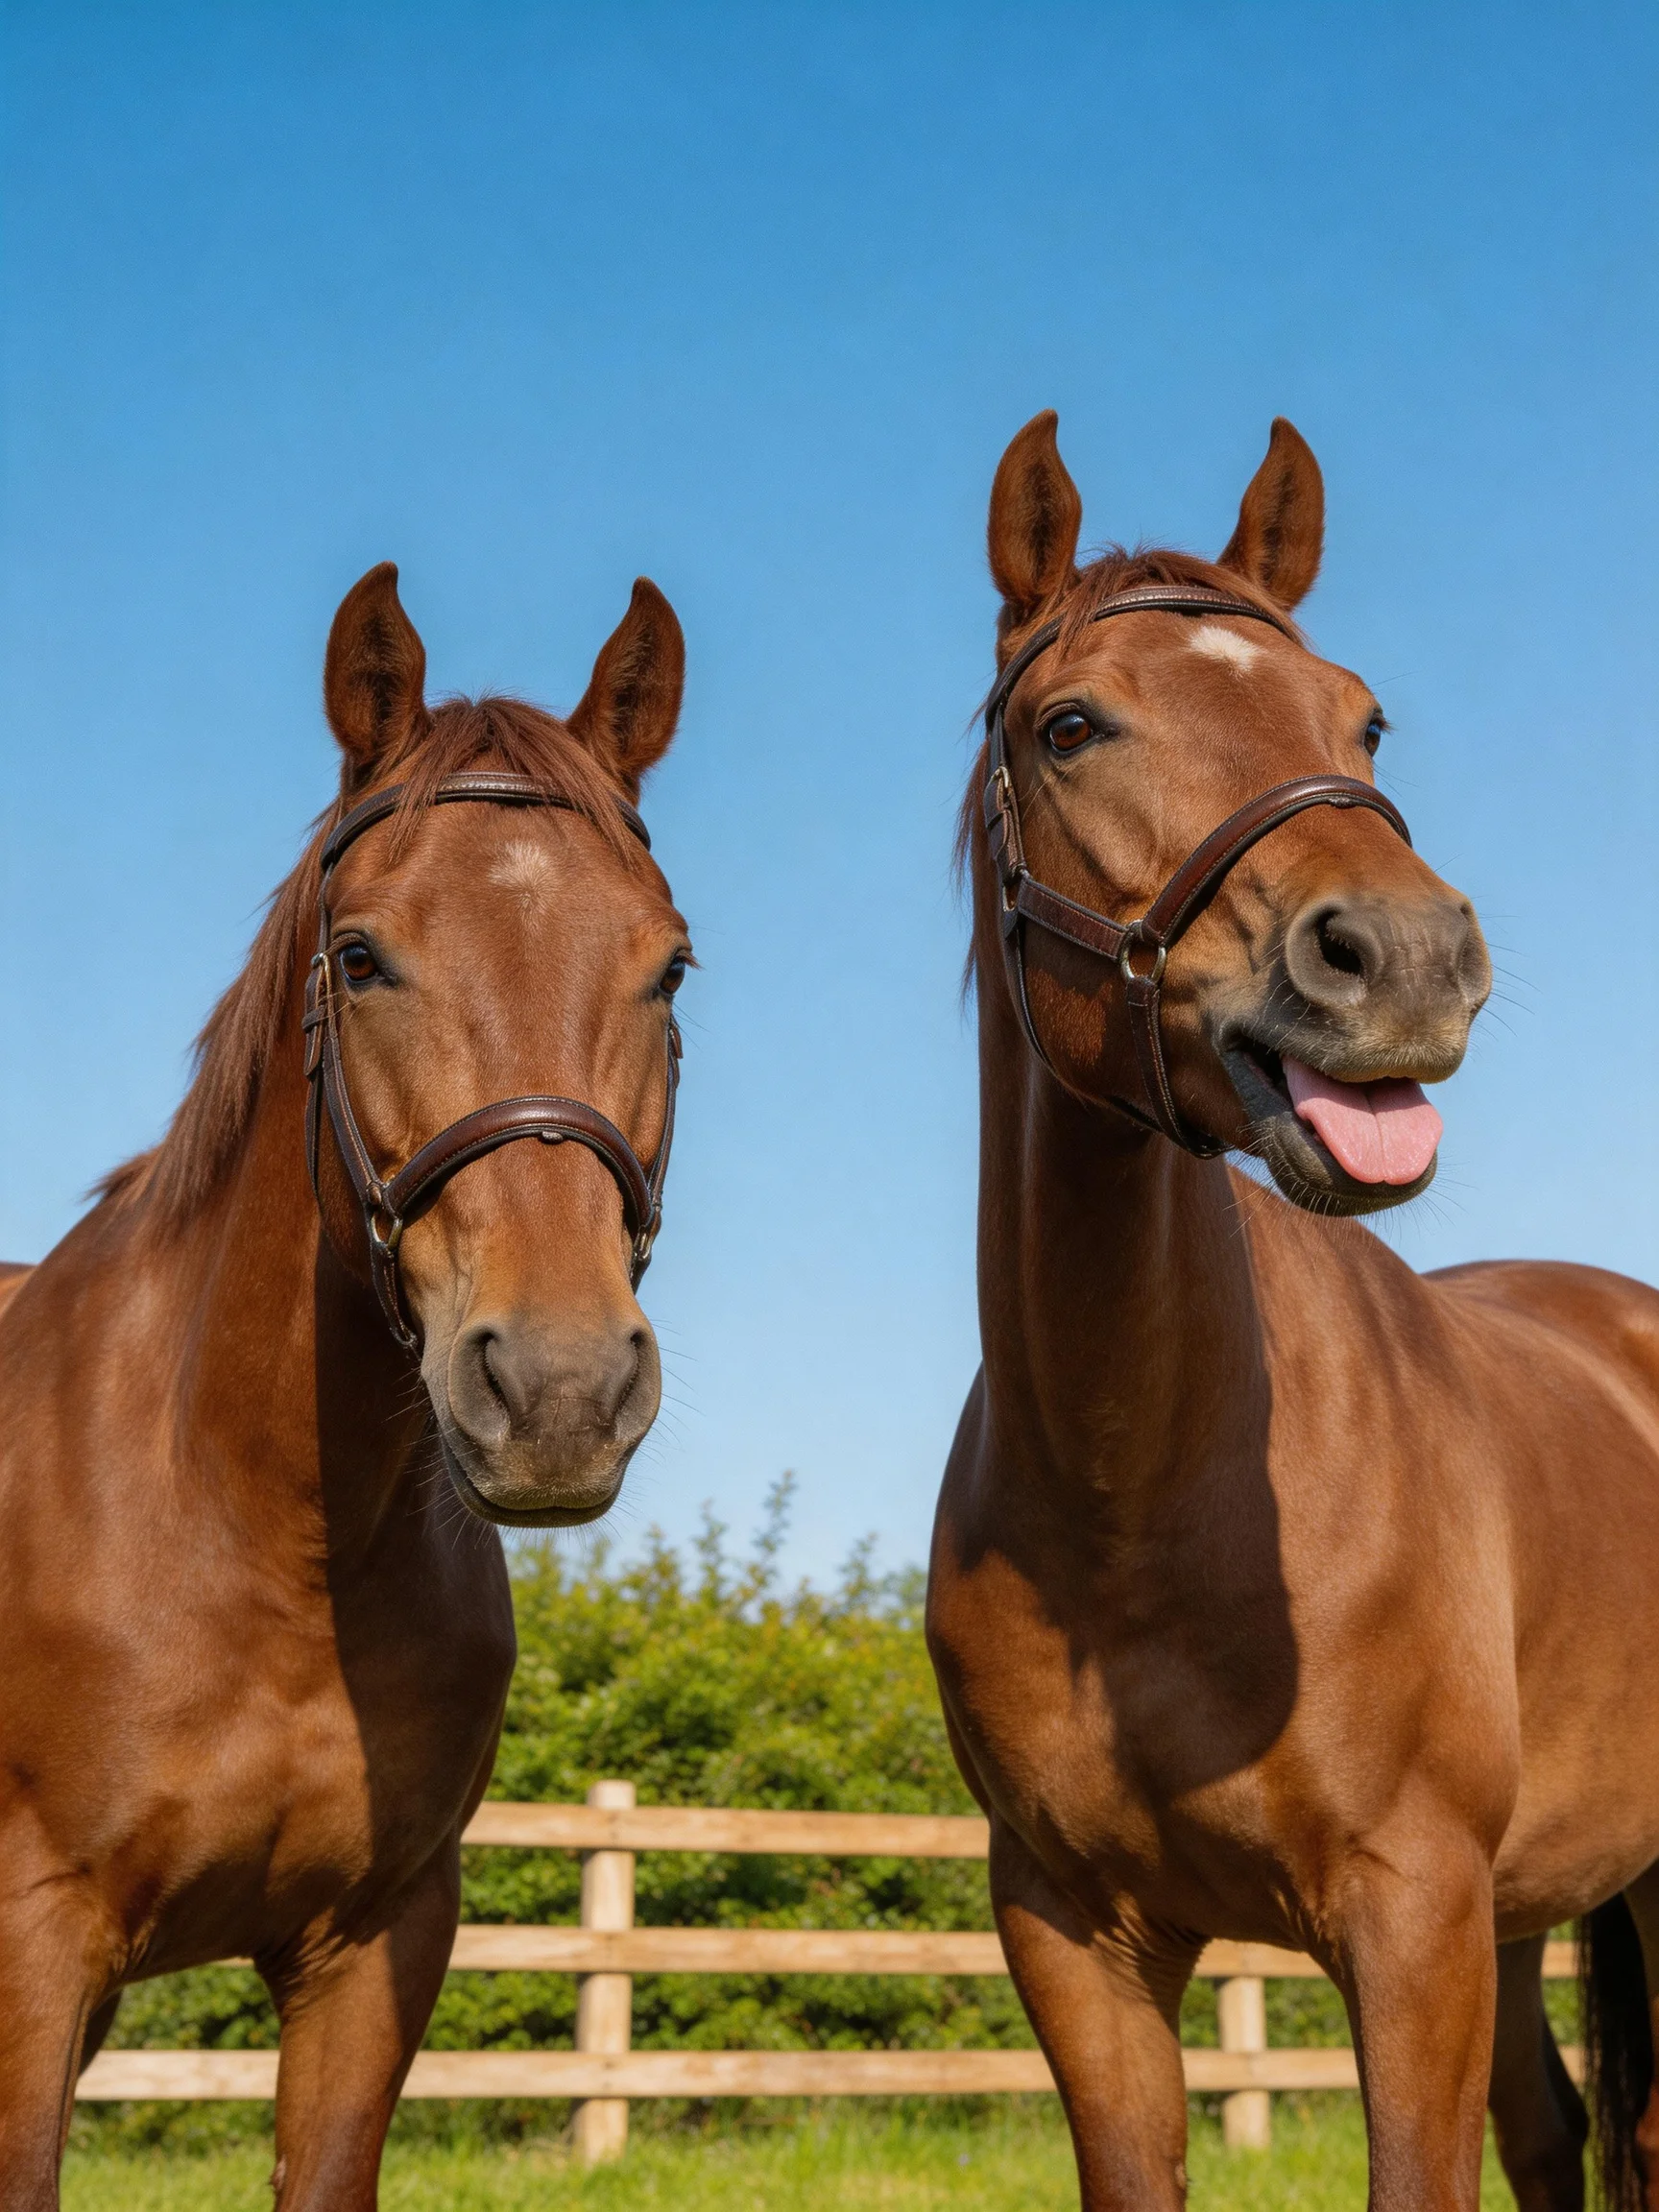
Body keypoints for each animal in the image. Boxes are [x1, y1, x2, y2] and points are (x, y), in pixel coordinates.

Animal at [0, 561, 691, 2209]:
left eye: (669, 966)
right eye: (364, 955)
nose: (561, 1389)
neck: (254, 1528)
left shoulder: (373, 1948)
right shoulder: (29, 1953)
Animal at [926, 412, 1659, 2212]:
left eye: (1362, 714)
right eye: (1070, 725)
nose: (1401, 958)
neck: (1141, 1493)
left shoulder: (1410, 1920)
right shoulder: (1078, 1941)